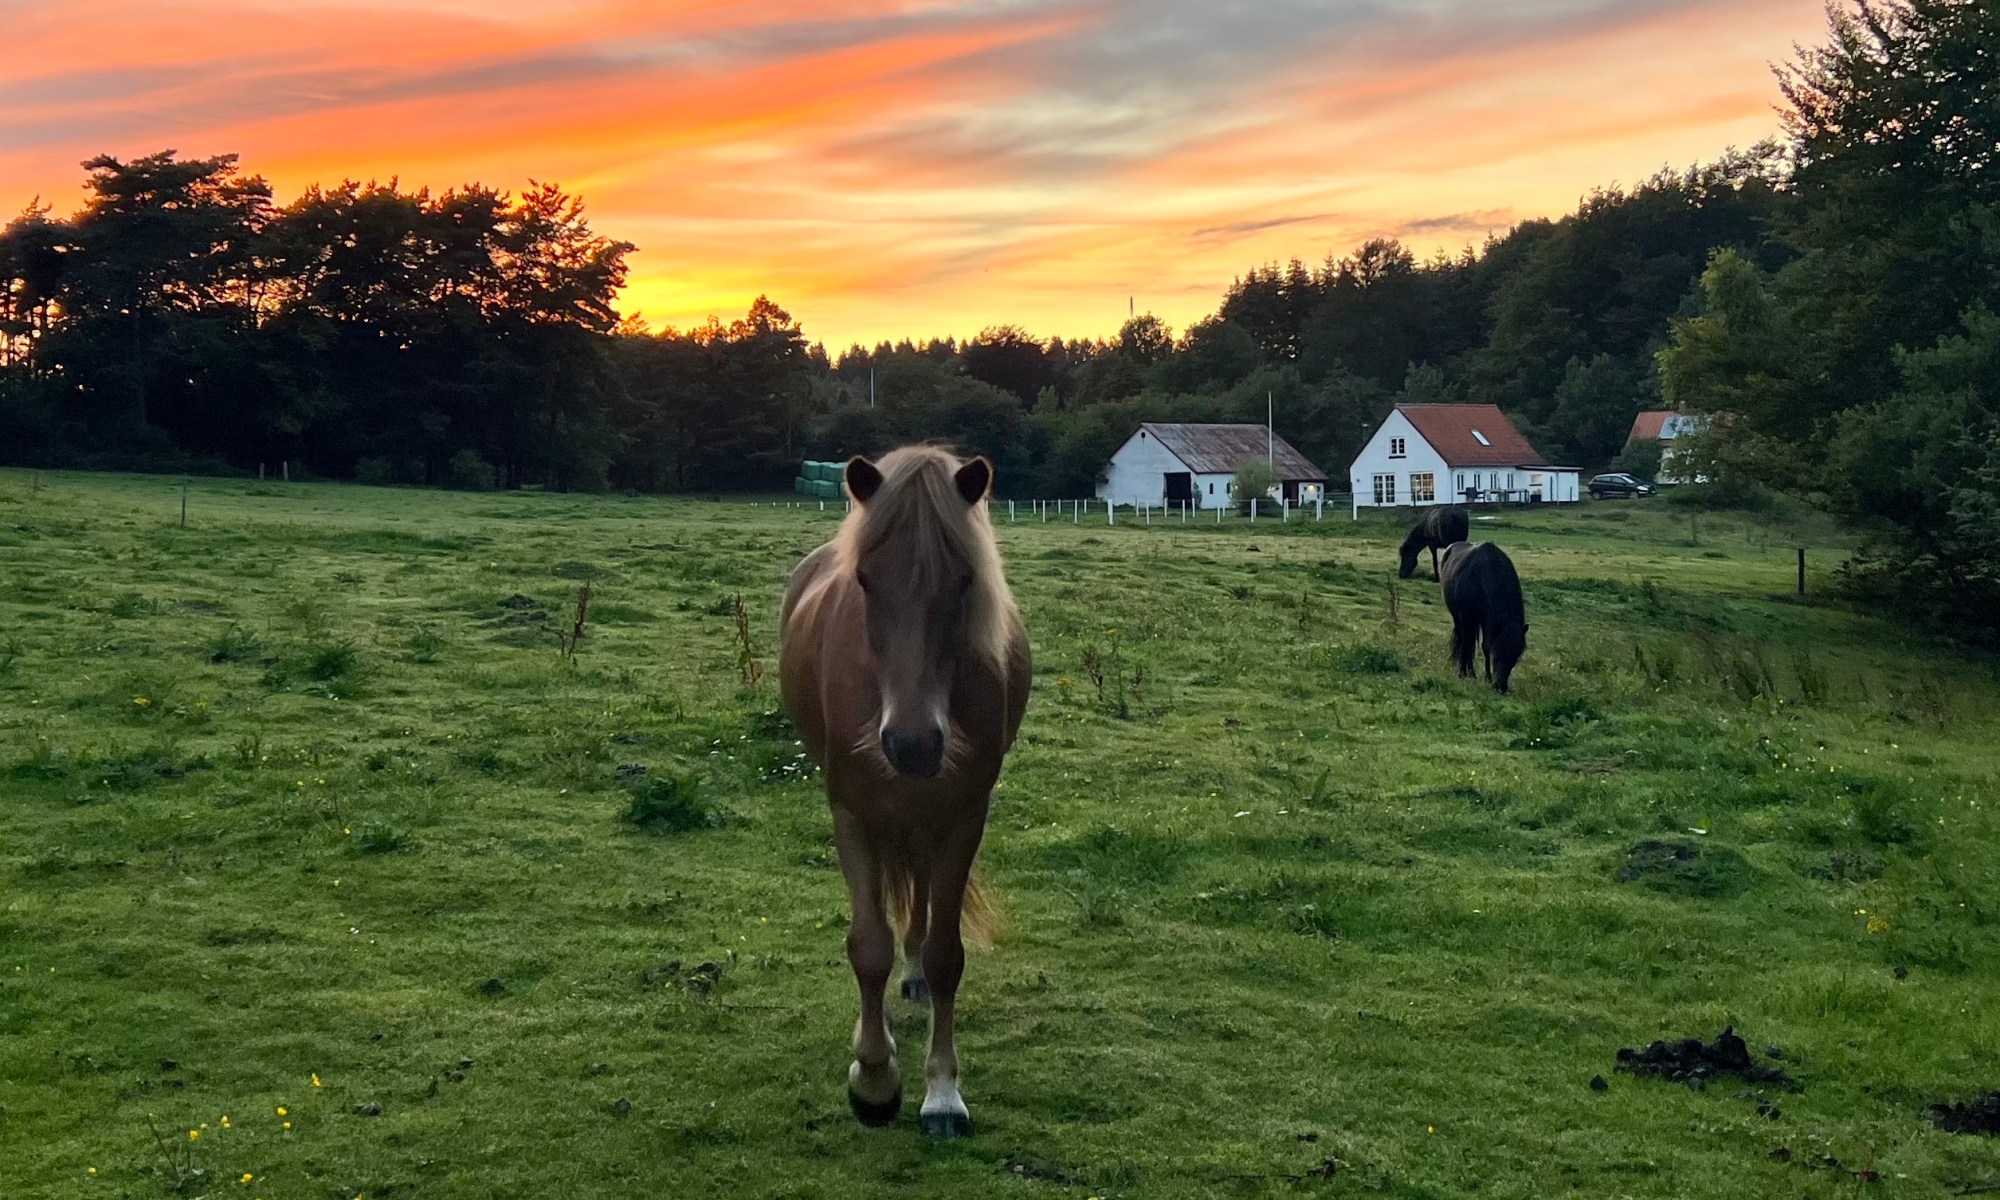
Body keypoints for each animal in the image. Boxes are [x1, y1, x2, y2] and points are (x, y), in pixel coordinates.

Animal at [778, 445, 1031, 1140]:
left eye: (966, 581)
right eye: (866, 581)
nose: (912, 743)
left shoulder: (965, 813)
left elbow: (946, 955)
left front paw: (942, 1092)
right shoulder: (852, 811)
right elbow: (868, 947)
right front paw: (873, 1078)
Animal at [1438, 541, 1527, 694]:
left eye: (1516, 656)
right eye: (1497, 654)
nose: (1501, 687)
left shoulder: (1487, 620)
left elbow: (1485, 647)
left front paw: (1487, 678)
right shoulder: (1466, 616)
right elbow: (1468, 644)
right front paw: (1462, 673)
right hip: (1458, 617)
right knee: (1464, 641)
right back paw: (1467, 671)